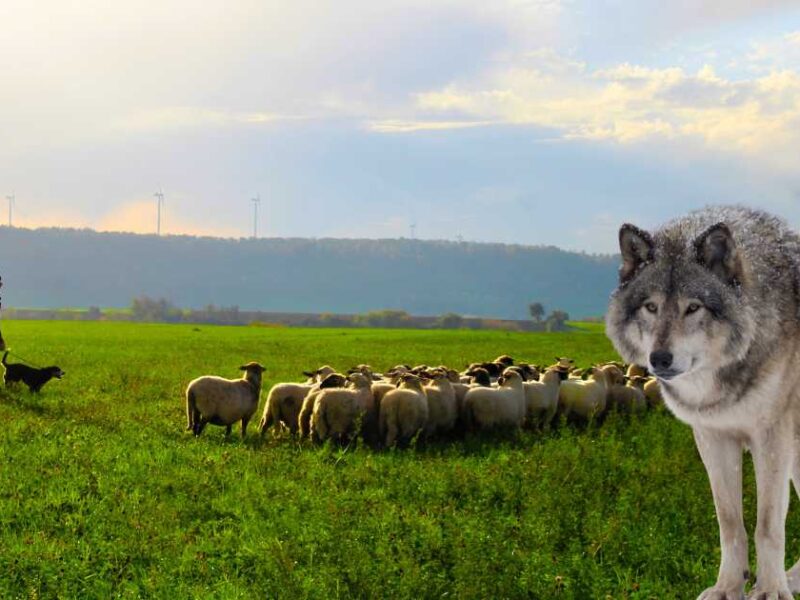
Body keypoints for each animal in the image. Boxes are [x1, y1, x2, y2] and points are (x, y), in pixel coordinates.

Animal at [606, 206, 800, 600]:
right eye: (651, 307)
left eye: (693, 307)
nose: (659, 359)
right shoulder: (713, 438)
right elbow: (730, 523)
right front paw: (729, 587)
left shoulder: (772, 439)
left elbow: (768, 525)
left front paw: (770, 590)